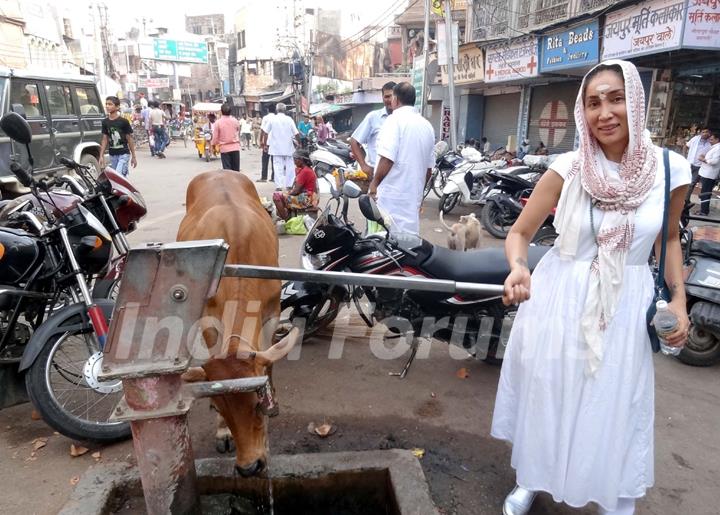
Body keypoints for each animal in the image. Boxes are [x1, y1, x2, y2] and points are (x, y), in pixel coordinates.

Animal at [179, 171, 300, 478]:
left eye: (257, 405)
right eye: (221, 408)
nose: (249, 468)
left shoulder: (271, 312)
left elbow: (268, 365)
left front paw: (272, 400)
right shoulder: (210, 322)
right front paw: (223, 432)